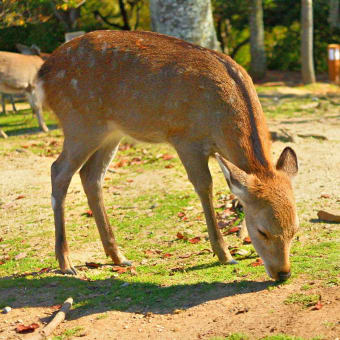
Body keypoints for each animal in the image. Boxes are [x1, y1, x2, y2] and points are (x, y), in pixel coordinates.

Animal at [35, 30, 298, 282]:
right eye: (262, 231)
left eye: (295, 229)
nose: (283, 273)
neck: (219, 121)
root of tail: (42, 74)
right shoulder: (185, 138)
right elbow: (205, 186)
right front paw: (224, 254)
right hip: (80, 124)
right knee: (58, 171)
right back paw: (66, 263)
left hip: (110, 132)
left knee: (91, 176)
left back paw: (119, 256)